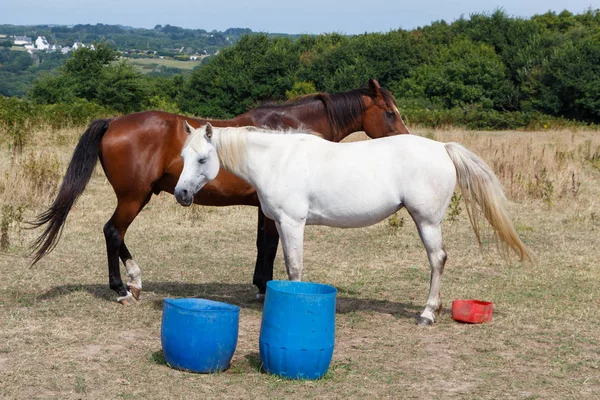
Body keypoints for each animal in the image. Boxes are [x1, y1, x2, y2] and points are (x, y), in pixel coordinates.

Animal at [30, 77, 410, 304]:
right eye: (390, 112)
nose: (408, 139)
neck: (286, 132)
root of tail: (114, 122)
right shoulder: (270, 210)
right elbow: (268, 246)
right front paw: (263, 287)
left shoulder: (265, 209)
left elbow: (263, 246)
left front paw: (260, 284)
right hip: (133, 198)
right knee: (112, 231)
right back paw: (123, 289)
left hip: (138, 197)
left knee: (115, 234)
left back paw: (134, 280)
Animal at [175, 122, 528, 324]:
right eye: (183, 157)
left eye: (203, 159)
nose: (181, 193)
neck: (278, 160)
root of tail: (442, 148)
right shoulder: (280, 224)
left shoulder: (292, 223)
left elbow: (294, 267)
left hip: (427, 221)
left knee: (437, 259)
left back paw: (428, 313)